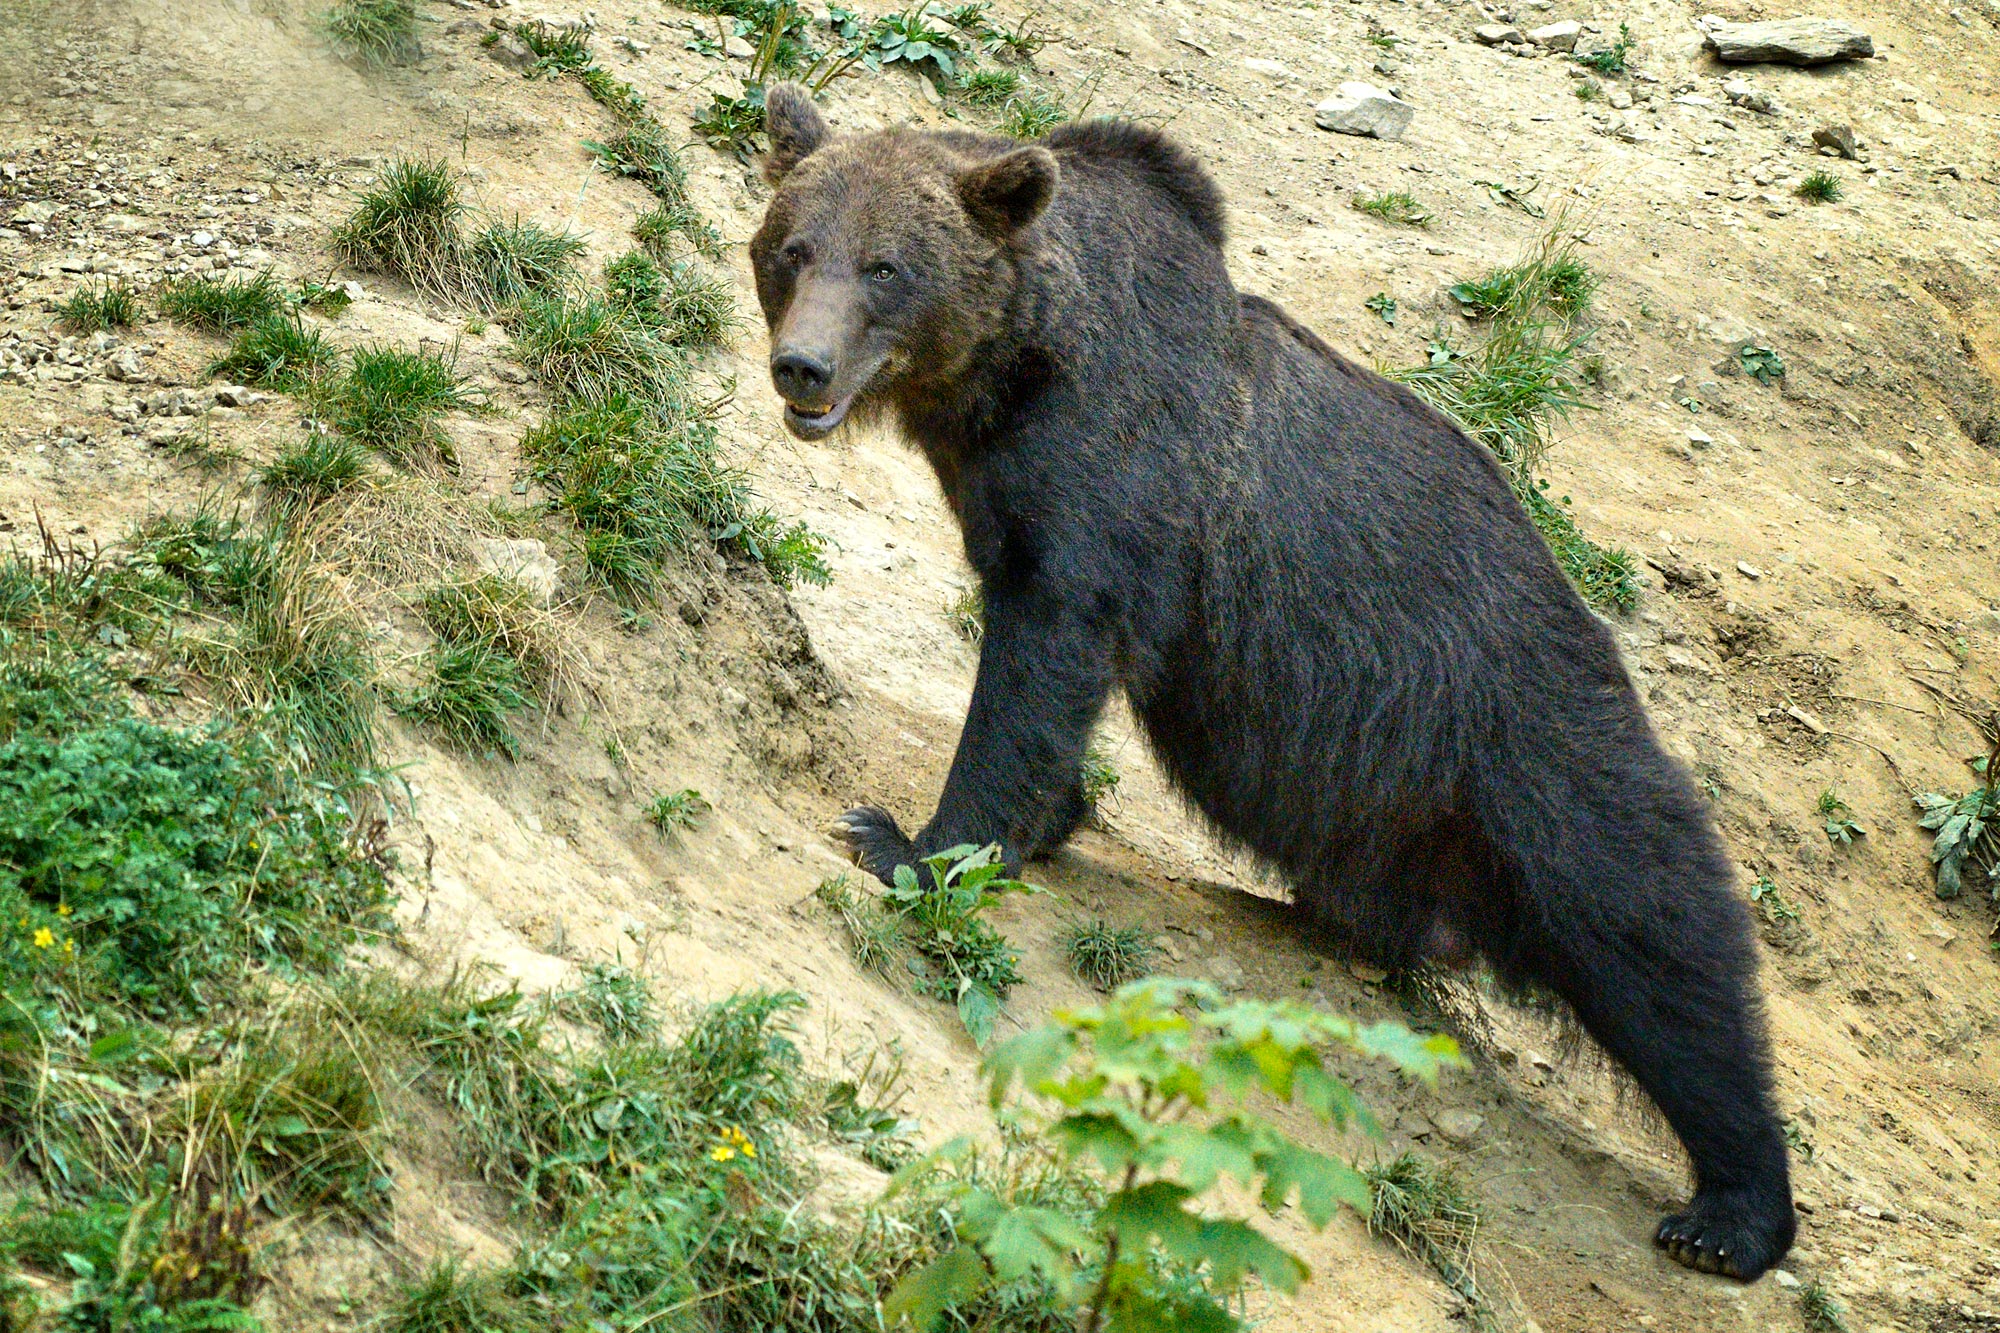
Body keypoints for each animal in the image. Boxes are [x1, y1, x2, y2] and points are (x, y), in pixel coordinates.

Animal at [752, 80, 1800, 1280]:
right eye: (792, 248)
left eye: (886, 266)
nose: (803, 366)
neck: (1010, 376)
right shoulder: (1008, 494)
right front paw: (1043, 820)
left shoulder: (1111, 491)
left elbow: (1037, 670)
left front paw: (905, 840)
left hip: (1528, 735)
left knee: (1654, 928)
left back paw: (1728, 1210)